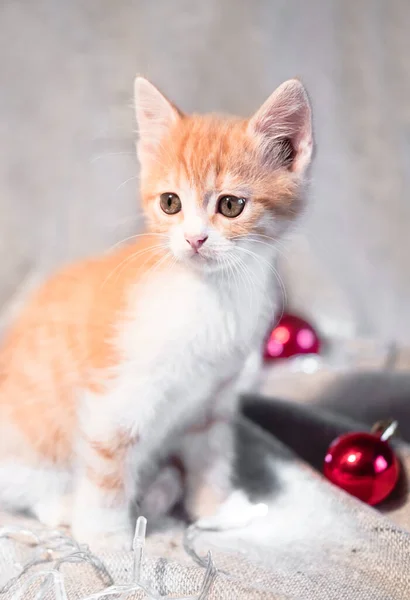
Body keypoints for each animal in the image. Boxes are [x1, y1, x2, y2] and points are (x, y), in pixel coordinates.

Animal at [0, 77, 310, 552]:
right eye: (170, 203)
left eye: (231, 206)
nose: (195, 239)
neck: (209, 295)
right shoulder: (114, 399)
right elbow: (108, 463)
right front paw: (105, 537)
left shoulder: (214, 397)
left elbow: (211, 456)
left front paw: (217, 511)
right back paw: (66, 506)